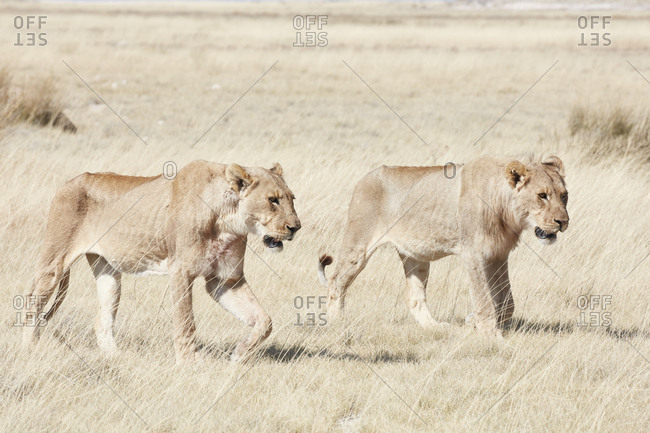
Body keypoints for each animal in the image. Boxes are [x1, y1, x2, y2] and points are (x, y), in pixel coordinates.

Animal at [22, 160, 301, 363]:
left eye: (292, 198)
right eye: (273, 200)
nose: (296, 227)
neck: (228, 221)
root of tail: (71, 181)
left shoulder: (225, 280)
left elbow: (264, 321)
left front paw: (239, 354)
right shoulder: (181, 271)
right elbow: (186, 322)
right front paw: (190, 365)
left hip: (108, 272)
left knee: (101, 320)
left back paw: (118, 359)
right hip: (54, 262)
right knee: (32, 303)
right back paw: (30, 348)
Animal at [318, 154, 569, 337]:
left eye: (564, 195)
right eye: (542, 195)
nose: (563, 221)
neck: (505, 209)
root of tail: (365, 177)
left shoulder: (498, 254)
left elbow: (507, 303)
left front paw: (472, 322)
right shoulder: (473, 254)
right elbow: (484, 299)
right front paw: (491, 334)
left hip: (416, 257)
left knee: (414, 297)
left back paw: (435, 327)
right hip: (358, 245)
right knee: (336, 281)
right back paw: (337, 321)